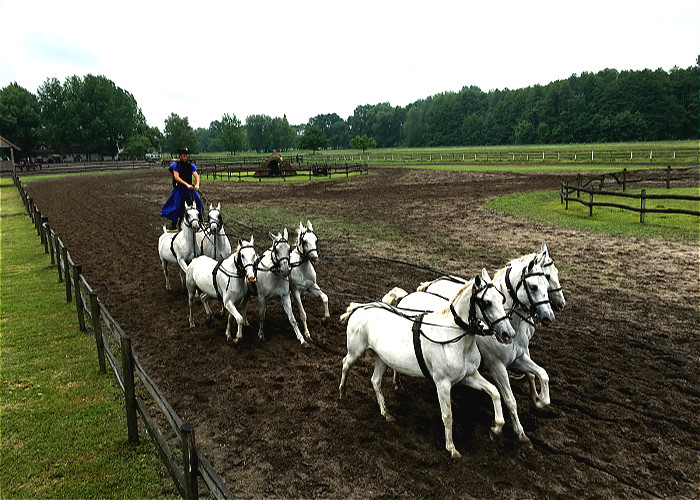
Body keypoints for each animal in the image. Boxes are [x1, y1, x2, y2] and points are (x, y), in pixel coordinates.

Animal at [340, 272, 516, 458]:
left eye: (502, 299)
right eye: (486, 302)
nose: (508, 334)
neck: (451, 336)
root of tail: (362, 307)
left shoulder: (468, 376)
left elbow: (495, 392)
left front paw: (496, 429)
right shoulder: (442, 383)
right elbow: (447, 415)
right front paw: (451, 448)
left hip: (382, 359)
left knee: (375, 381)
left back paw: (386, 413)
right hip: (356, 350)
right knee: (345, 364)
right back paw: (342, 392)